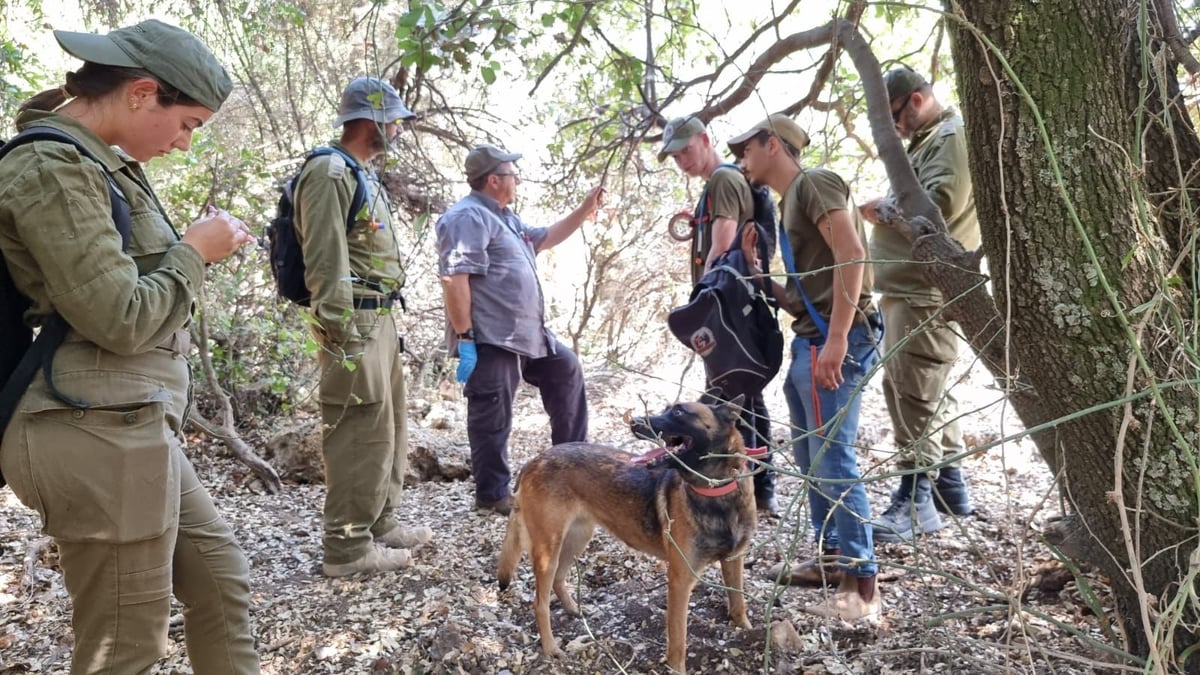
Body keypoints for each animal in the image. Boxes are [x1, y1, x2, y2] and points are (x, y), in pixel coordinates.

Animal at [492, 393, 753, 672]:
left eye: (679, 412)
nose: (634, 421)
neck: (716, 492)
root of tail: (534, 461)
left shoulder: (734, 560)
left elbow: (738, 600)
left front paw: (748, 631)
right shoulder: (680, 581)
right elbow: (678, 639)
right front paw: (676, 669)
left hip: (577, 538)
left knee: (559, 579)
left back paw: (574, 610)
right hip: (548, 549)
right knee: (540, 602)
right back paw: (551, 648)